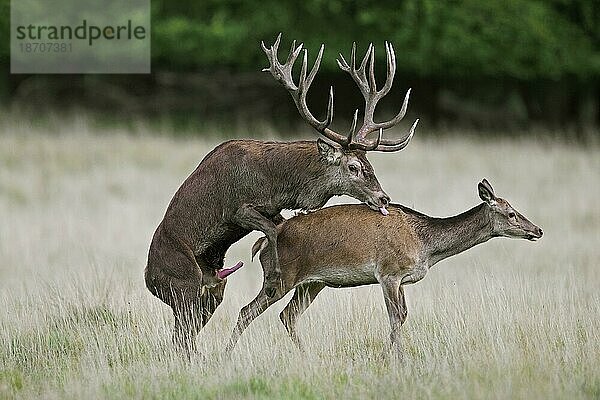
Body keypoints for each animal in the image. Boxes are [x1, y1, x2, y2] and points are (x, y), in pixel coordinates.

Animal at [226, 180, 544, 354]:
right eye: (511, 213)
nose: (538, 230)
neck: (425, 245)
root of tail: (262, 243)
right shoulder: (388, 272)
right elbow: (395, 318)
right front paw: (396, 360)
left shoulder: (402, 279)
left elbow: (402, 316)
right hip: (280, 278)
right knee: (246, 311)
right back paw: (226, 355)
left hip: (313, 283)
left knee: (288, 315)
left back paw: (306, 356)